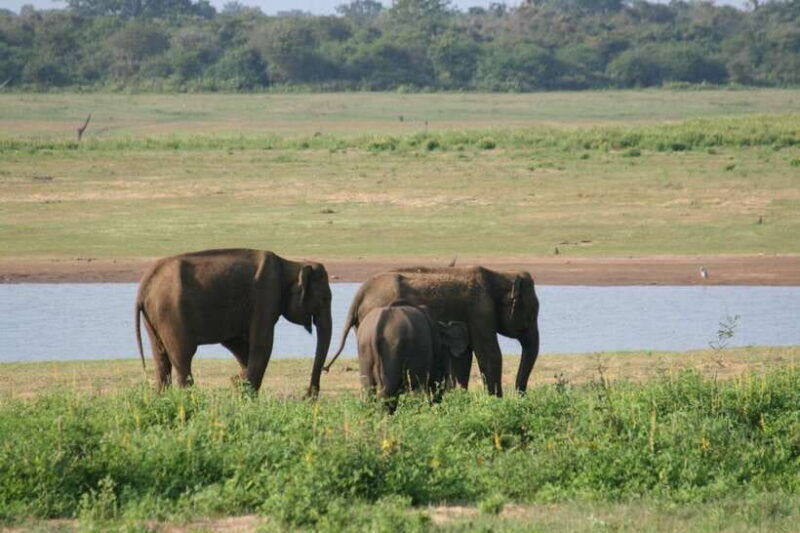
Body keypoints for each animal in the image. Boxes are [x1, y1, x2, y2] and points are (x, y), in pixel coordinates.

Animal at [135, 248, 332, 395]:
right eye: (324, 299)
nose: (308, 396)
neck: (291, 264)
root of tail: (144, 288)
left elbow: (238, 344)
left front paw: (238, 381)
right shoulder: (266, 296)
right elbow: (262, 344)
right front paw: (246, 394)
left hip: (153, 317)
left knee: (161, 360)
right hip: (170, 313)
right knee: (183, 358)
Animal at [326, 266, 540, 396]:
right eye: (530, 316)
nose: (519, 397)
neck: (500, 275)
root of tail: (360, 292)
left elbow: (463, 358)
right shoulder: (480, 311)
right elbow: (490, 355)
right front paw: (496, 401)